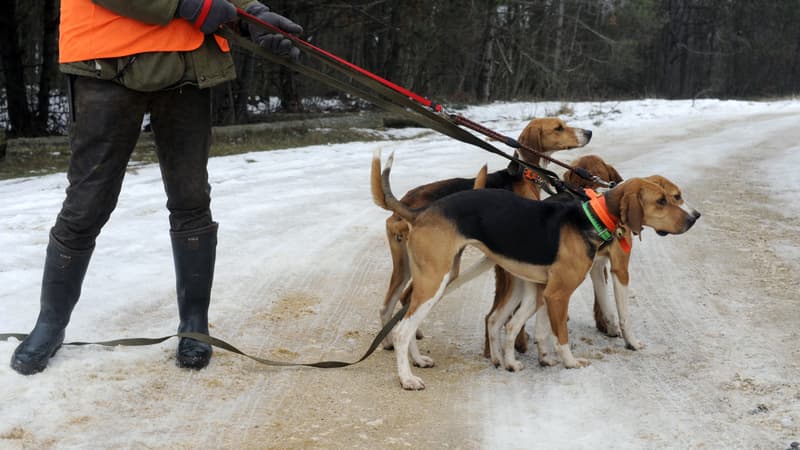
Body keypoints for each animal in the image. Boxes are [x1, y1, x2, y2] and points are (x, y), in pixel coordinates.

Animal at [370, 149, 700, 388]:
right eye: (663, 200)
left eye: (674, 197)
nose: (694, 218)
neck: (593, 217)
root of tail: (420, 211)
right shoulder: (562, 291)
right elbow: (564, 332)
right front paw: (572, 362)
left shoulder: (542, 289)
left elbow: (535, 328)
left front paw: (535, 358)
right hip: (434, 281)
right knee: (402, 330)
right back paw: (407, 378)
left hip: (445, 277)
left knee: (408, 318)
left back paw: (420, 360)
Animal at [378, 118, 592, 350]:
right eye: (558, 128)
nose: (589, 132)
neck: (523, 175)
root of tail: (405, 207)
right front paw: (517, 342)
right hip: (438, 269)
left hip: (408, 267)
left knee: (390, 304)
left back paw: (391, 342)